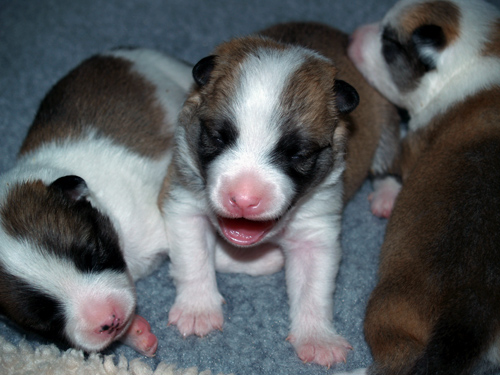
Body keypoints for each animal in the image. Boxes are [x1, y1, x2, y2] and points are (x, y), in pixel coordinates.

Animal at [164, 21, 398, 368]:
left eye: (298, 154)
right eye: (217, 137)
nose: (244, 199)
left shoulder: (316, 230)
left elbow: (313, 288)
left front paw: (318, 338)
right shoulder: (185, 203)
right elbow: (193, 258)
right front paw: (198, 309)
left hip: (386, 125)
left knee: (388, 163)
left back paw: (386, 195)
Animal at [346, 0, 500, 375]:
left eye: (389, 43)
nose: (351, 36)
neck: (480, 51)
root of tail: (469, 312)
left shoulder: (414, 141)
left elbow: (395, 167)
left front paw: (385, 197)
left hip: (387, 311)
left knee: (396, 359)